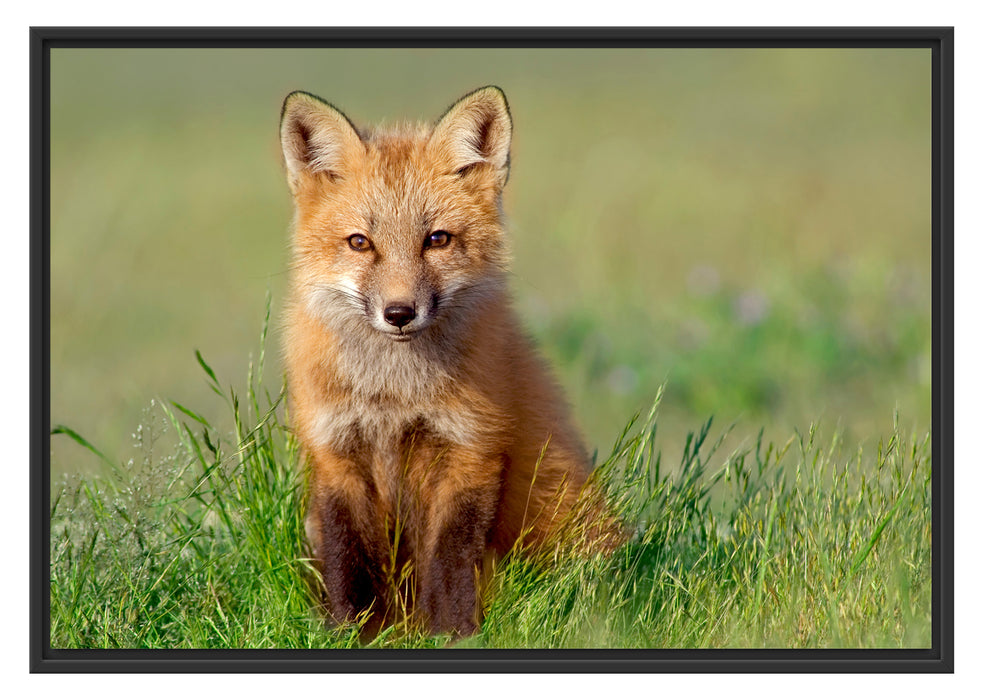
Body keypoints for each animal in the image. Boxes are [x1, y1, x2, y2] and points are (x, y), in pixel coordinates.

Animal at [279, 86, 620, 638]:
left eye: (436, 239)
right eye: (360, 242)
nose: (399, 313)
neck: (394, 396)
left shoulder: (470, 449)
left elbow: (450, 560)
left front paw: (451, 634)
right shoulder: (335, 453)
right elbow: (347, 560)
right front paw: (351, 633)